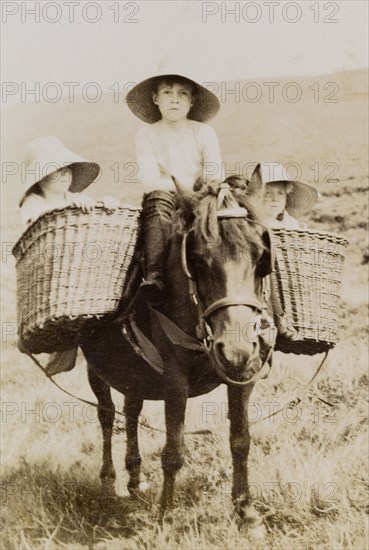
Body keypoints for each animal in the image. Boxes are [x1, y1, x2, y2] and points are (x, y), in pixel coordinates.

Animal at [82, 174, 274, 536]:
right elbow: (173, 451)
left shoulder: (243, 377)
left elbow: (241, 440)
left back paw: (135, 478)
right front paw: (165, 517)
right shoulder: (174, 381)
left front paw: (247, 512)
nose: (236, 350)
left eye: (261, 258)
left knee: (131, 412)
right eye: (196, 260)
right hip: (95, 368)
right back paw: (109, 479)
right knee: (107, 416)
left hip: (135, 375)